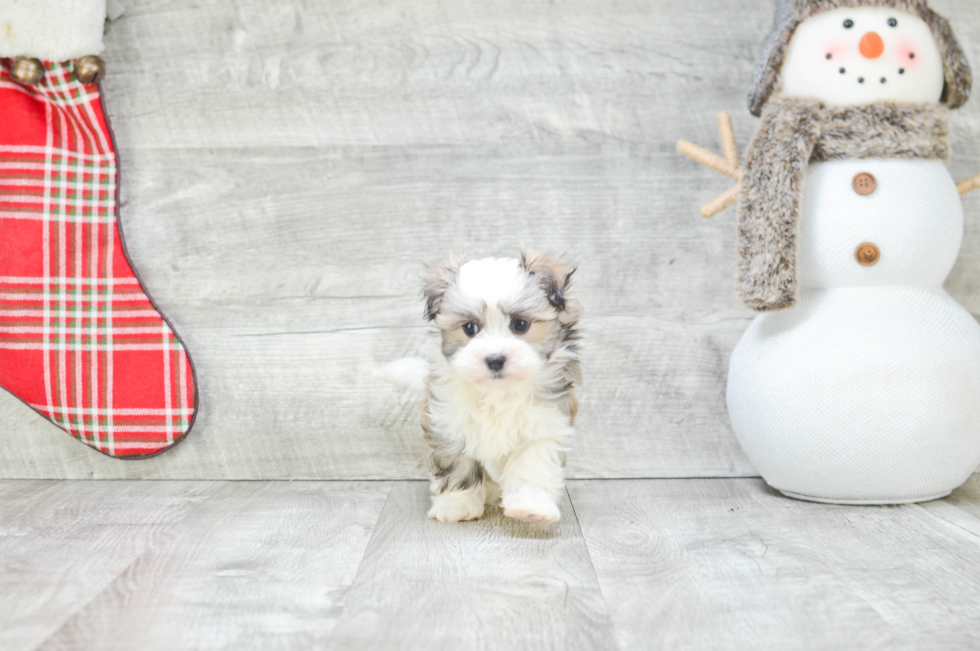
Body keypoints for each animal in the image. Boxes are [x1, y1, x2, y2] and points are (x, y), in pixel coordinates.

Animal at [418, 251, 580, 524]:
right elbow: (458, 464)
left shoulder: (544, 424)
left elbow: (531, 465)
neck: (498, 392)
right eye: (470, 328)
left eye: (520, 324)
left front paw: (530, 507)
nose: (495, 359)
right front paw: (457, 506)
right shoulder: (449, 421)